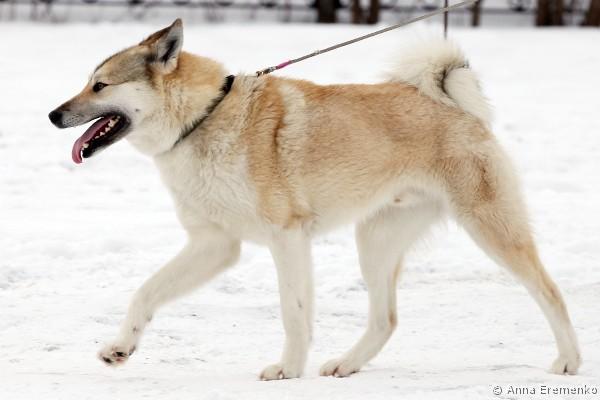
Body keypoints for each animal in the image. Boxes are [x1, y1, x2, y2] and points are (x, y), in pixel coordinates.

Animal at [48, 19, 581, 379]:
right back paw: (346, 364)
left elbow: (293, 311)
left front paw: (287, 369)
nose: (53, 115)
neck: (203, 118)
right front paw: (120, 347)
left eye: (100, 85)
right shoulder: (215, 245)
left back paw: (569, 360)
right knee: (386, 319)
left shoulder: (286, 237)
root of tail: (456, 106)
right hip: (375, 242)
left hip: (490, 229)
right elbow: (146, 292)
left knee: (550, 291)